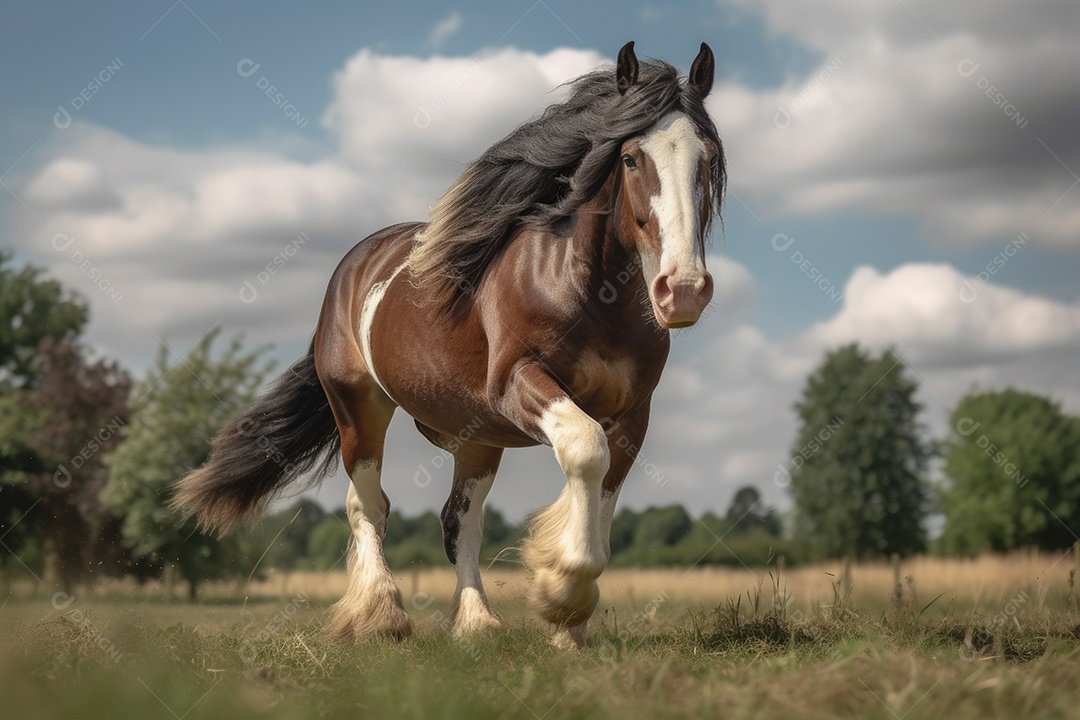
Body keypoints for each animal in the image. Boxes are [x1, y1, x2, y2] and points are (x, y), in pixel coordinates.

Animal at [173, 40, 726, 649]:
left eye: (706, 160)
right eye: (630, 159)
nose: (683, 290)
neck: (585, 291)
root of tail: (354, 266)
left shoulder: (631, 415)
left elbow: (601, 499)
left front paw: (570, 629)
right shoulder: (518, 384)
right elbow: (585, 451)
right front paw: (561, 594)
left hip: (477, 439)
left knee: (459, 520)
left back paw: (477, 623)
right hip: (360, 410)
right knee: (368, 505)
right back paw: (382, 616)